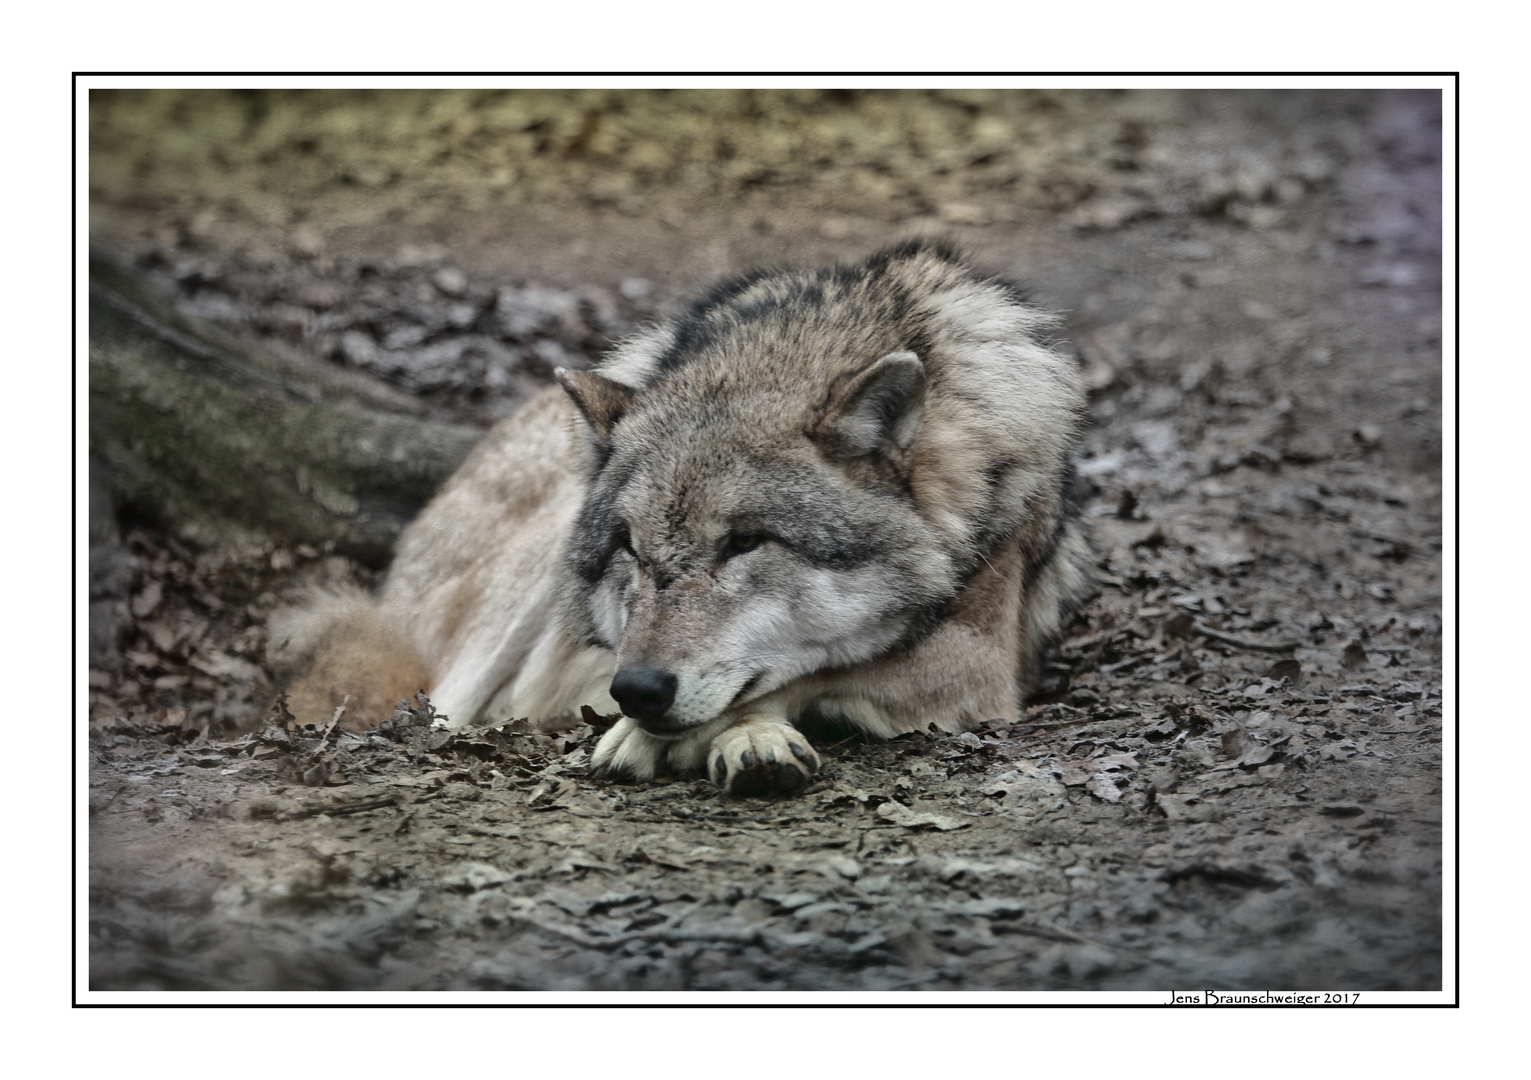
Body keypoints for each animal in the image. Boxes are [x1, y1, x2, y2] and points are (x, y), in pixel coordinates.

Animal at [272, 242, 1090, 790]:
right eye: (631, 549)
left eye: (745, 543)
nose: (636, 690)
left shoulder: (981, 661)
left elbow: (823, 667)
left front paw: (718, 739)